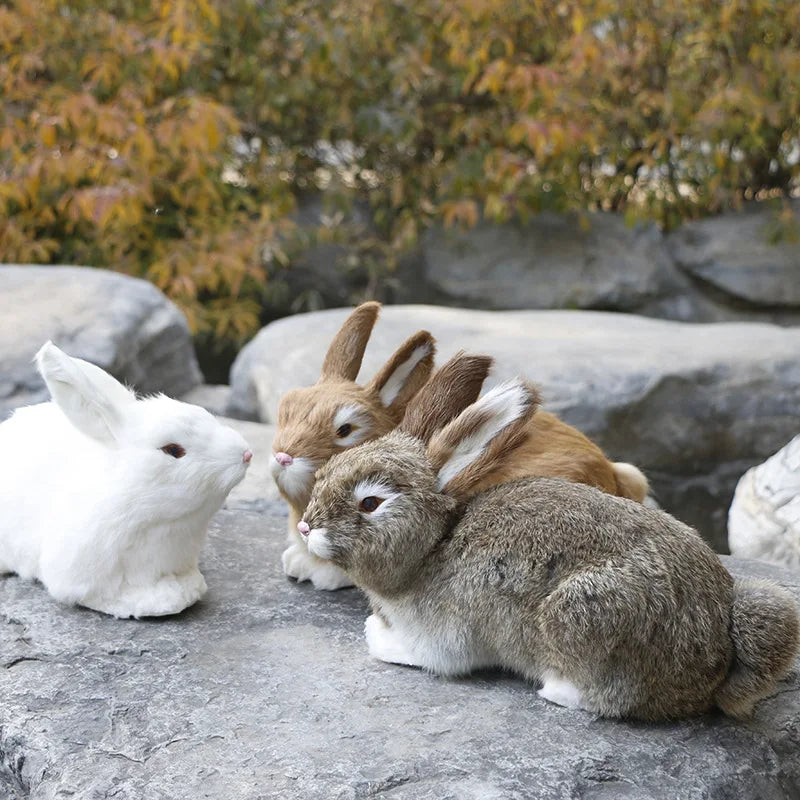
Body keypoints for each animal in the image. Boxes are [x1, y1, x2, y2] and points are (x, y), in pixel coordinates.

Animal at [298, 354, 800, 721]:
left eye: (370, 503)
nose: (305, 526)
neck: (433, 545)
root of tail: (717, 656)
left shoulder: (444, 639)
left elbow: (426, 655)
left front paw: (377, 637)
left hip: (583, 614)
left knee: (609, 698)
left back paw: (554, 690)